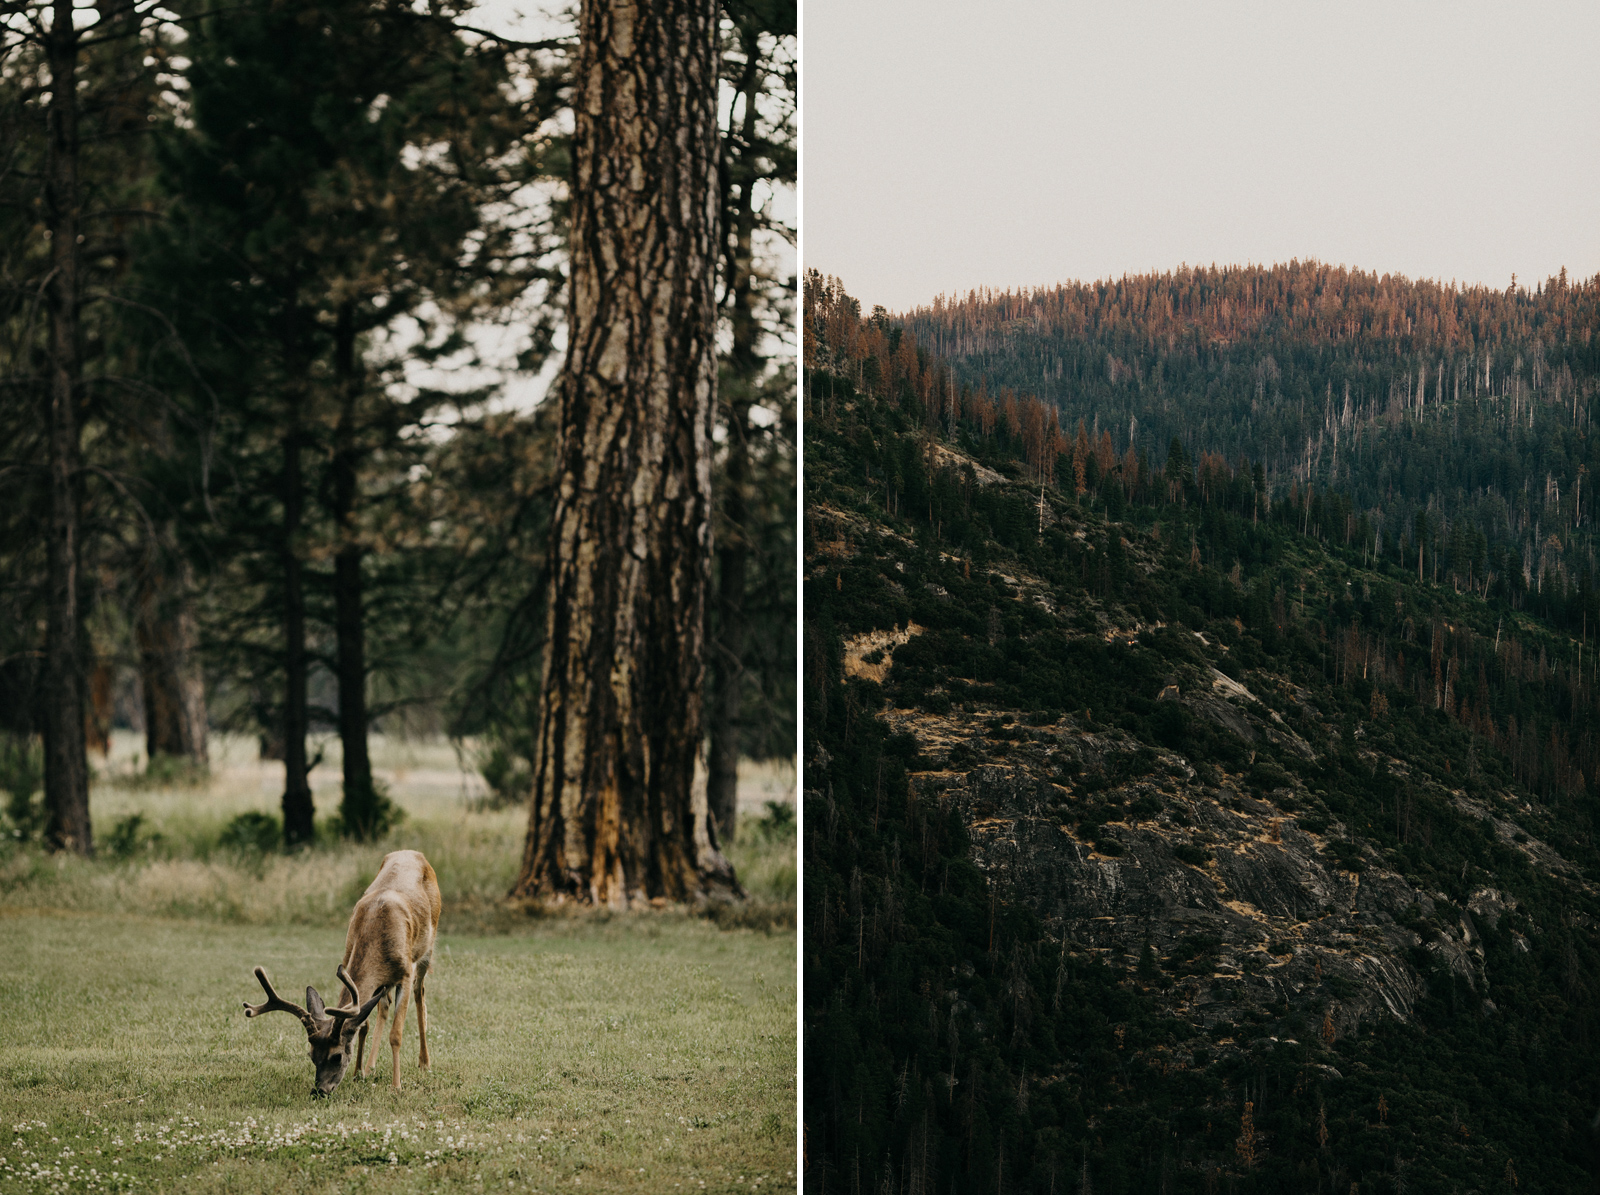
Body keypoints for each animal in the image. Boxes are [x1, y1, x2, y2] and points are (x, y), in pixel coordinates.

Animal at [240, 844, 438, 1100]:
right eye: (311, 1055)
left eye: (336, 1056)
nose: (319, 1091)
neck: (376, 930)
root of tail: (412, 852)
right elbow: (362, 1025)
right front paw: (358, 1074)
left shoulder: (404, 972)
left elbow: (396, 1034)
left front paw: (396, 1086)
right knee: (383, 1007)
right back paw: (371, 1066)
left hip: (427, 950)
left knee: (419, 995)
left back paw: (424, 1062)